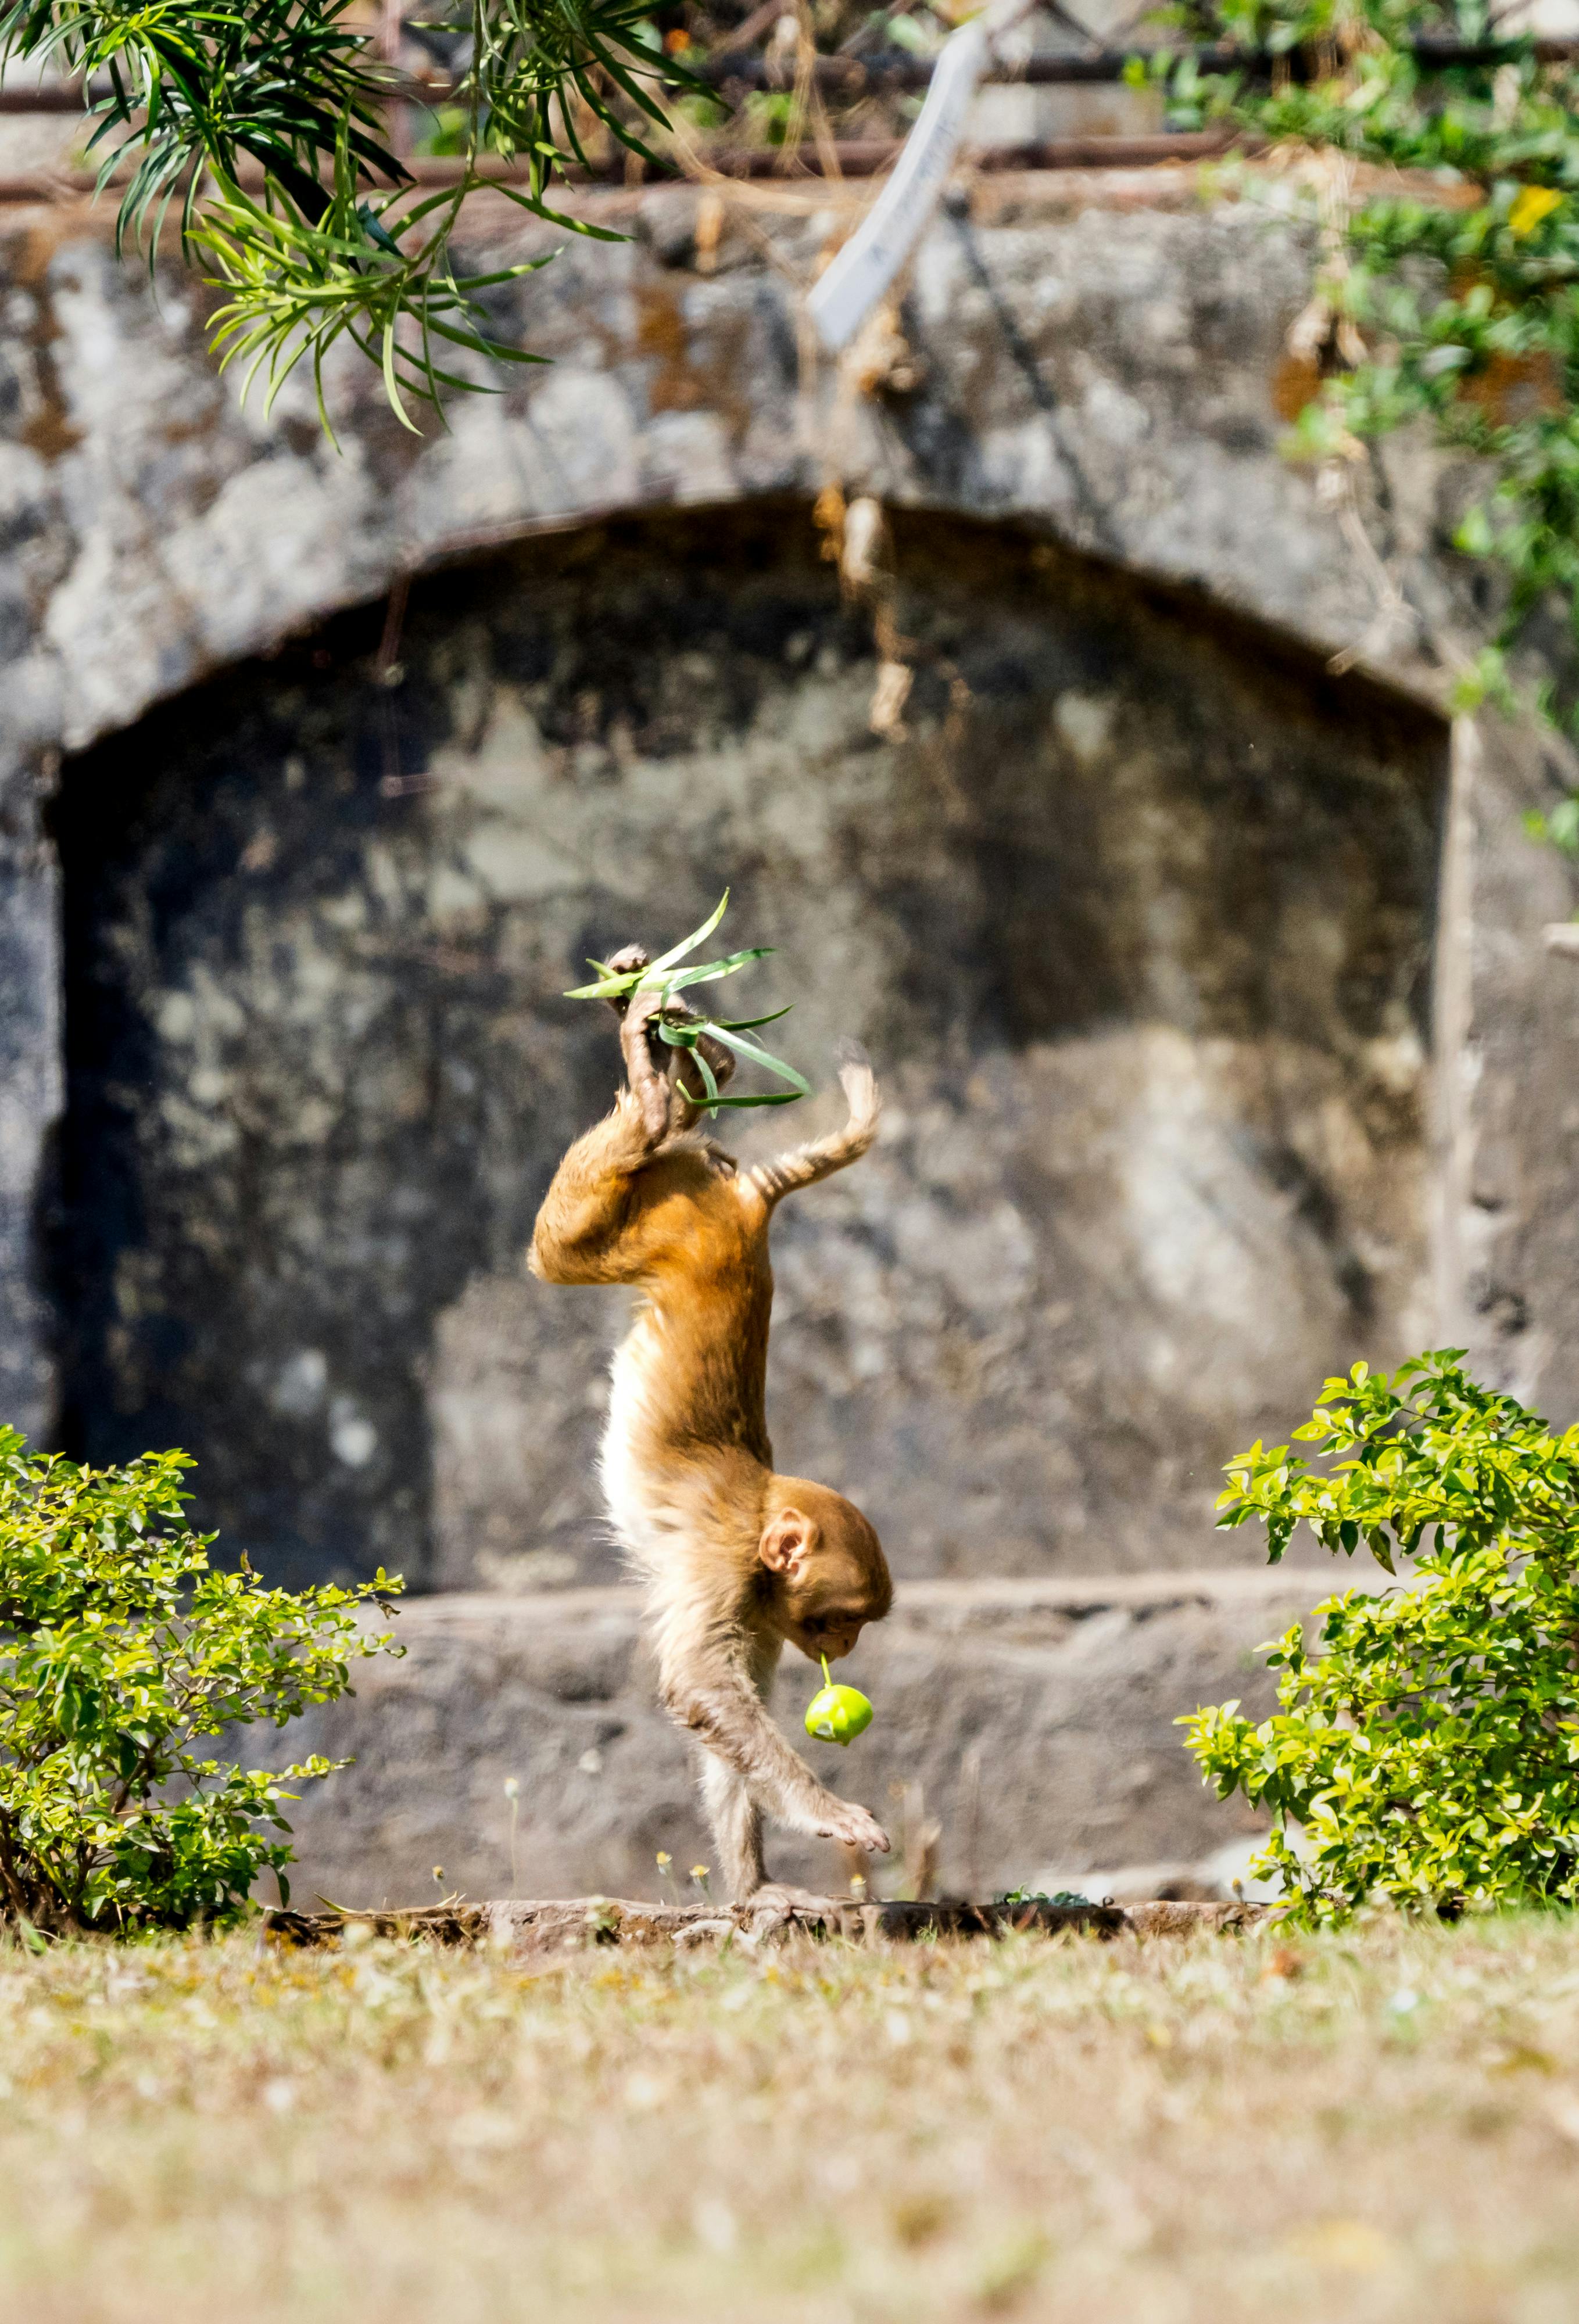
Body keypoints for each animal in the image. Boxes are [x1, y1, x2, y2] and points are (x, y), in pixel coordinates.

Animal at [530, 944, 897, 1906]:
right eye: (843, 1617)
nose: (847, 1645)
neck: (765, 1520)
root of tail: (750, 1209)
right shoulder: (724, 1569)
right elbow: (701, 1687)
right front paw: (828, 1814)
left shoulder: (760, 1614)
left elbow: (731, 1717)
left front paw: (756, 1885)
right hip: (673, 1221)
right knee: (560, 1247)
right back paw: (652, 1083)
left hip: (689, 1196)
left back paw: (696, 1068)